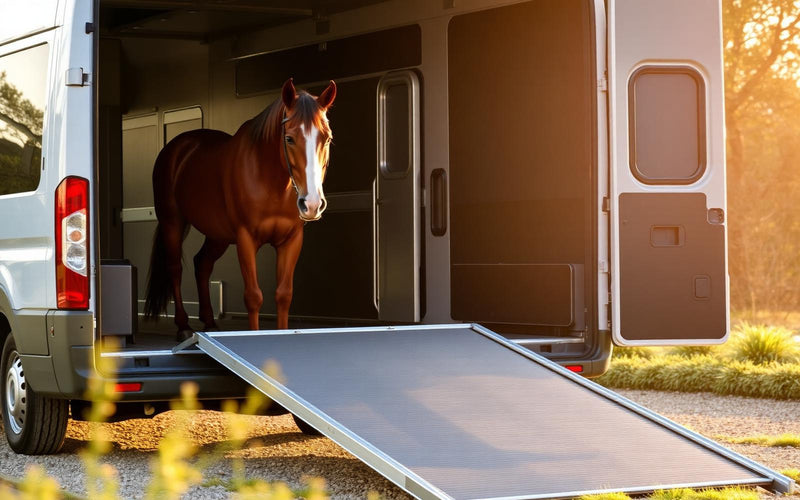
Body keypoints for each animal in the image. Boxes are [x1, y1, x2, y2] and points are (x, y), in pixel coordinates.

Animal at [144, 78, 336, 340]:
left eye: (327, 138)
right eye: (289, 138)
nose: (313, 204)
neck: (270, 181)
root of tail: (176, 148)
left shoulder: (291, 240)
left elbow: (284, 294)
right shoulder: (246, 239)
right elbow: (253, 296)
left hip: (218, 235)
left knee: (202, 264)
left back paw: (210, 322)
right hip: (173, 222)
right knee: (175, 268)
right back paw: (183, 326)